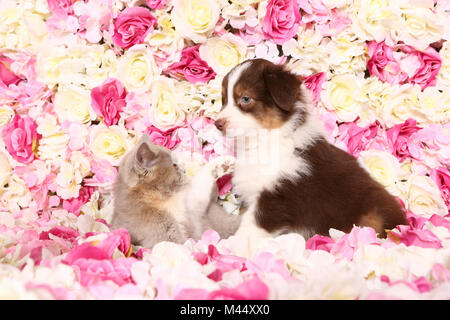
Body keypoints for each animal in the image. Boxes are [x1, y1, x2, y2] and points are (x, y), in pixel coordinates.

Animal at [110, 134, 241, 249]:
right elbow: (179, 247)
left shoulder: (191, 208)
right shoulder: (163, 231)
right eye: (174, 165)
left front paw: (224, 163)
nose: (184, 170)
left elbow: (201, 183)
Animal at [215, 59, 408, 240]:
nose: (217, 124)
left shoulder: (275, 197)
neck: (264, 142)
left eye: (245, 98)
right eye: (224, 100)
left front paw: (232, 245)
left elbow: (249, 230)